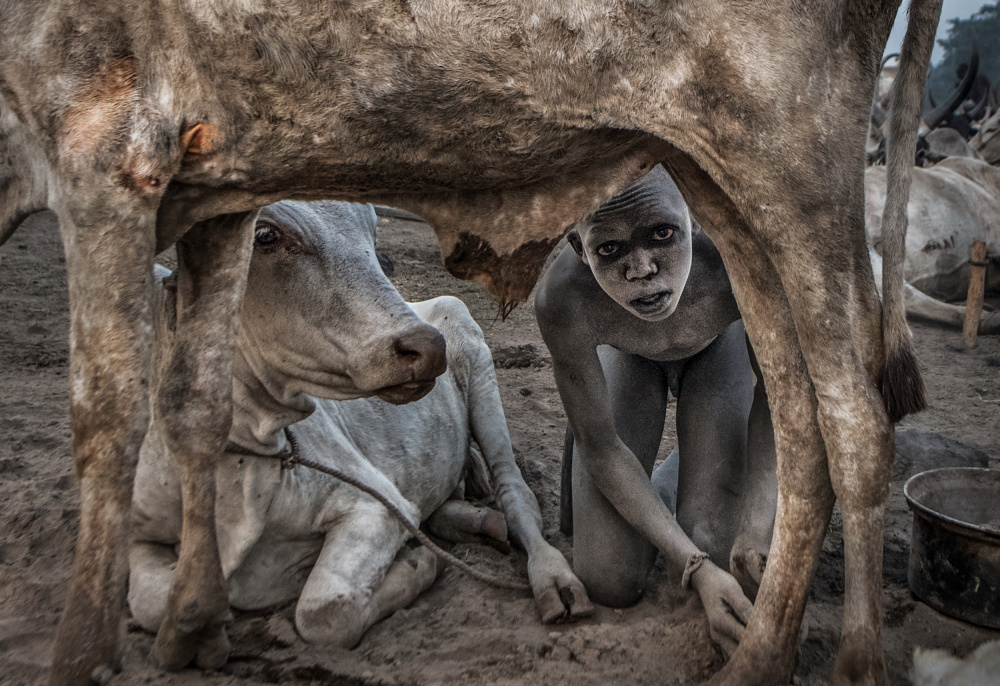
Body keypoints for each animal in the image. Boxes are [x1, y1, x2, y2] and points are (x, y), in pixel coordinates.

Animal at [128, 200, 588, 652]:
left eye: (371, 228)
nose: (426, 346)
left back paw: (552, 577)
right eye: (264, 235)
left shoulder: (374, 506)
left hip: (479, 368)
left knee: (515, 492)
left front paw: (420, 561)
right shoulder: (140, 537)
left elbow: (324, 612)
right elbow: (156, 603)